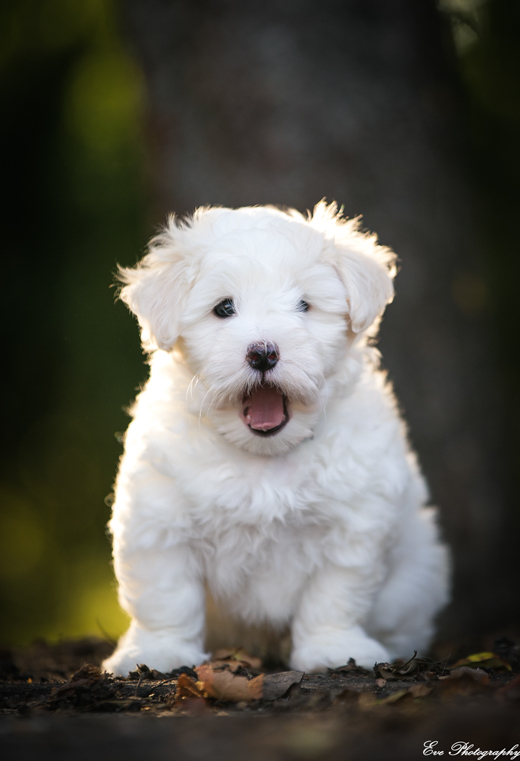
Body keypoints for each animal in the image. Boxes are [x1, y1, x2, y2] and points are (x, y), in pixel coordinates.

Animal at [103, 199, 448, 672]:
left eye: (304, 305)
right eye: (224, 308)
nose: (263, 352)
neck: (264, 457)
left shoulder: (353, 526)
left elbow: (334, 595)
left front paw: (333, 649)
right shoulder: (160, 521)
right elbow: (166, 595)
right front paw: (159, 651)